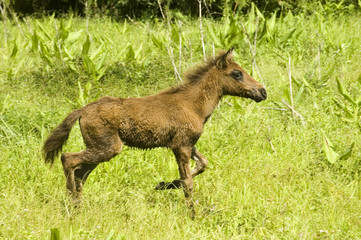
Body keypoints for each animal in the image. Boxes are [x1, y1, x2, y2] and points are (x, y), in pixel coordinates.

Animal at [43, 48, 266, 216]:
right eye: (236, 74)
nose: (262, 92)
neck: (194, 105)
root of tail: (81, 111)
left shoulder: (186, 144)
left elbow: (202, 165)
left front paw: (163, 184)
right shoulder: (182, 145)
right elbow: (188, 182)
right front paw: (192, 214)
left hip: (98, 148)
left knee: (80, 173)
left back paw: (77, 206)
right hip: (107, 147)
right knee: (68, 159)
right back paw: (70, 203)